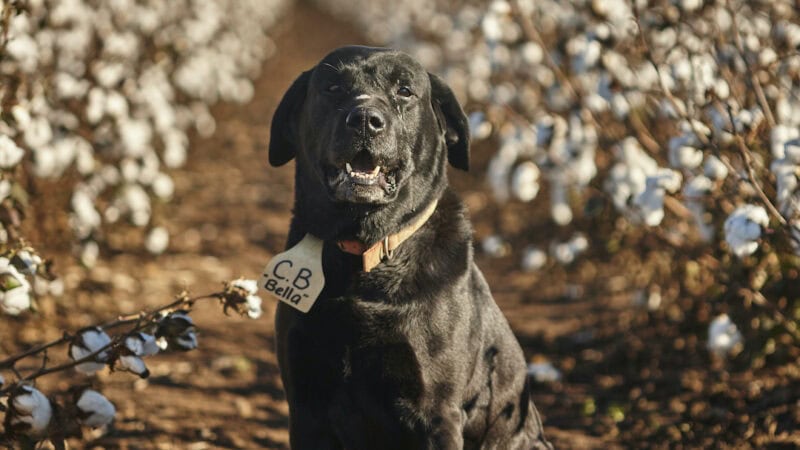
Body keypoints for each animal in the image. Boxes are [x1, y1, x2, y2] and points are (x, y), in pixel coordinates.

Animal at [268, 46, 552, 450]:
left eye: (404, 91)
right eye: (333, 86)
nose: (365, 120)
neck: (365, 253)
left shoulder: (434, 412)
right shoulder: (307, 407)